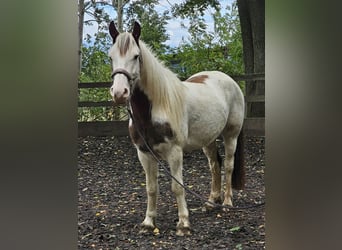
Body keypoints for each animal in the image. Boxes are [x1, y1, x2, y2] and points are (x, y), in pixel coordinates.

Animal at [108, 21, 244, 236]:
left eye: (136, 56)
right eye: (110, 56)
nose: (119, 93)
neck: (156, 108)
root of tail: (228, 79)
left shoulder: (175, 153)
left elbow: (177, 187)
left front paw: (183, 224)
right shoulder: (144, 154)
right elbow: (151, 188)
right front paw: (148, 223)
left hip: (231, 135)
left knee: (229, 166)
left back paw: (227, 203)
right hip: (208, 140)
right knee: (215, 165)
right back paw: (210, 202)